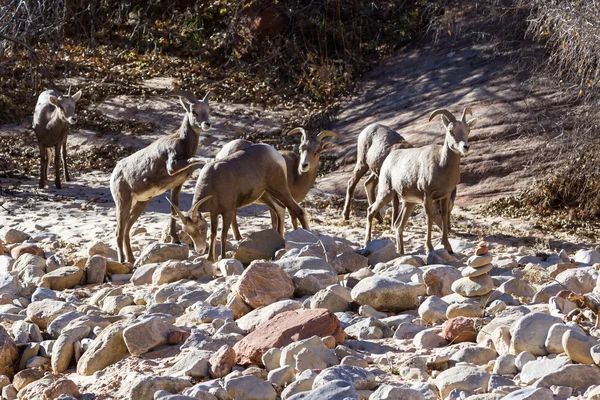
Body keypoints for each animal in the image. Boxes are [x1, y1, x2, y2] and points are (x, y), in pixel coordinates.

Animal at [110, 88, 216, 262]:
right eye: (193, 112)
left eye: (208, 110)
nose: (207, 124)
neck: (182, 142)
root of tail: (115, 173)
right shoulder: (173, 167)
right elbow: (194, 159)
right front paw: (211, 159)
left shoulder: (177, 185)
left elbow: (174, 209)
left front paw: (176, 239)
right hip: (123, 202)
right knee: (119, 230)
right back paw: (122, 261)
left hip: (141, 203)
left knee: (126, 229)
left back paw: (131, 259)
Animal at [168, 144, 310, 262]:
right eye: (187, 232)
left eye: (201, 228)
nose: (200, 250)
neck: (213, 180)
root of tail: (275, 154)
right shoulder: (214, 214)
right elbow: (213, 235)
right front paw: (210, 259)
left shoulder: (227, 212)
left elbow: (223, 235)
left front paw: (222, 258)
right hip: (266, 193)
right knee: (280, 208)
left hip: (279, 189)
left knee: (298, 210)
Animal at [364, 108, 476, 255]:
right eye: (451, 131)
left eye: (468, 130)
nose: (465, 147)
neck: (441, 165)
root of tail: (389, 158)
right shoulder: (427, 195)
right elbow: (429, 219)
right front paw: (429, 248)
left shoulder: (445, 196)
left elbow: (444, 217)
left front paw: (448, 247)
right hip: (386, 193)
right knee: (371, 210)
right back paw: (366, 243)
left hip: (409, 203)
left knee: (398, 225)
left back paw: (401, 252)